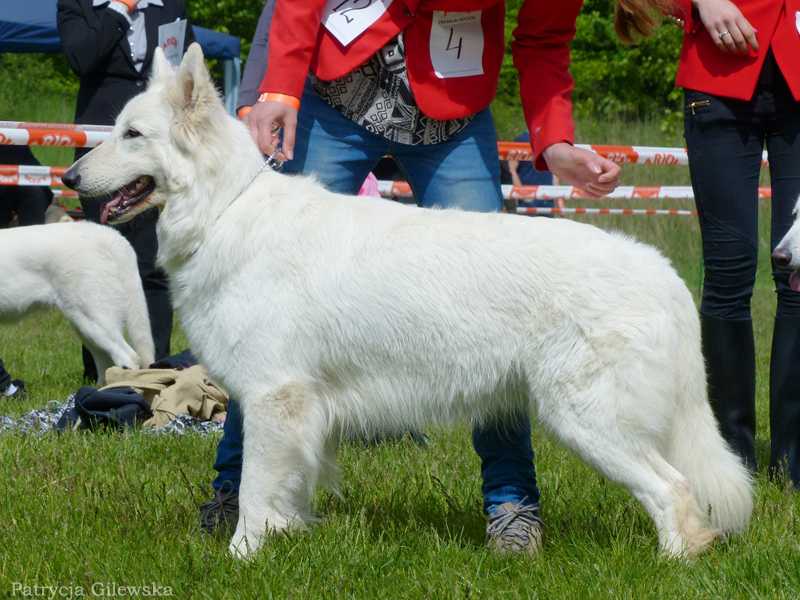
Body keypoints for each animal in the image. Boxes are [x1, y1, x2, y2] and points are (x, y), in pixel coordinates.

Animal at [65, 44, 752, 560]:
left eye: (132, 135)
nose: (69, 178)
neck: (224, 208)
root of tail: (662, 273)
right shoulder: (290, 410)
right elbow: (285, 490)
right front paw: (288, 538)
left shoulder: (272, 398)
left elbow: (257, 492)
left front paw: (242, 557)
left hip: (589, 420)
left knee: (673, 489)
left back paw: (676, 560)